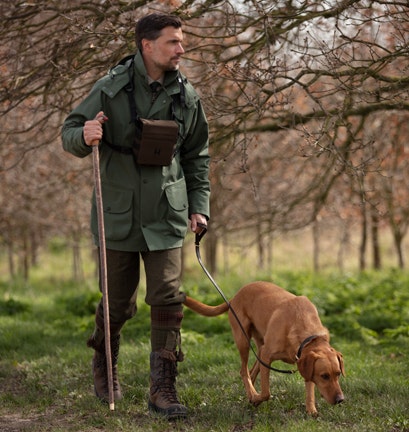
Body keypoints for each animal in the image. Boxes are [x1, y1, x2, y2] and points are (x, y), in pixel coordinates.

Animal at [183, 280, 342, 416]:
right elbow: (266, 393)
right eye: (324, 376)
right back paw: (253, 395)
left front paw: (311, 410)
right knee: (244, 371)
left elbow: (309, 390)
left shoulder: (302, 361)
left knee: (252, 371)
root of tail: (234, 297)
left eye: (338, 374)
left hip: (259, 348)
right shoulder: (267, 355)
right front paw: (257, 398)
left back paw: (251, 394)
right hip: (243, 341)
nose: (341, 400)